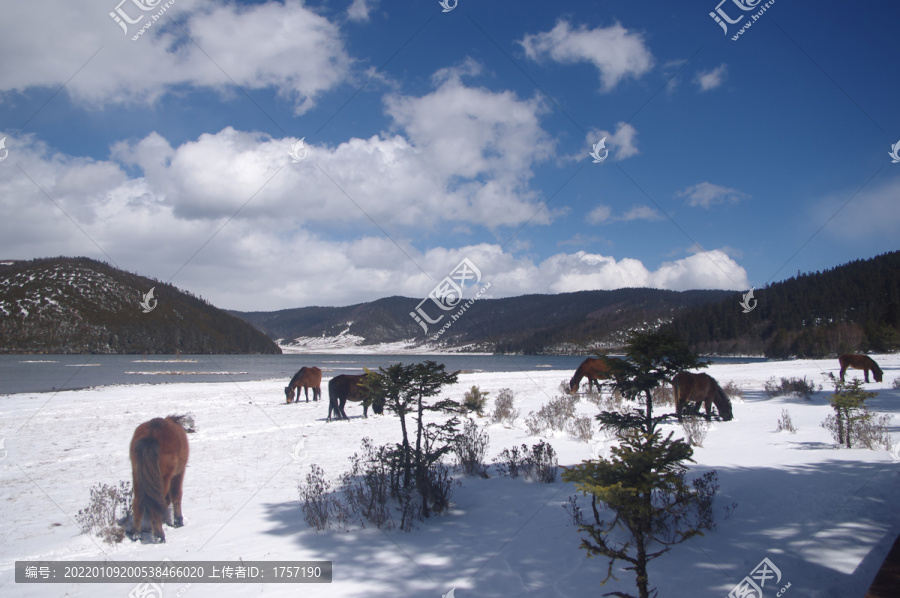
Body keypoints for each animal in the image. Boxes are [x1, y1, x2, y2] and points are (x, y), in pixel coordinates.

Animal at [128, 414, 188, 548]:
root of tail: (150, 436)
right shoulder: (178, 474)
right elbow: (176, 495)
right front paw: (178, 521)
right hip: (163, 478)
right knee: (154, 506)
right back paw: (159, 536)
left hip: (137, 476)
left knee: (137, 503)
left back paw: (136, 535)